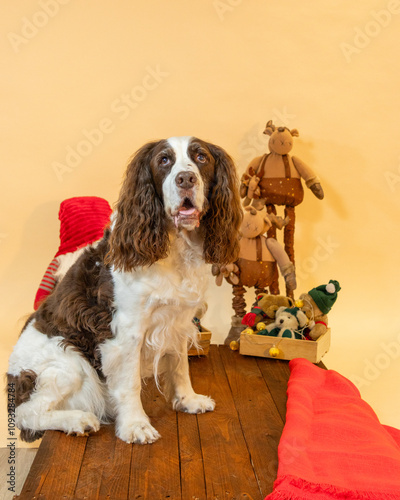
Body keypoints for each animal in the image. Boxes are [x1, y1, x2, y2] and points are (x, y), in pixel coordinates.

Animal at [7, 135, 242, 444]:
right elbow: (130, 383)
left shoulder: (178, 321)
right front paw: (135, 425)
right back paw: (77, 420)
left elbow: (180, 366)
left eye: (201, 157)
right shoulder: (127, 331)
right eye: (163, 160)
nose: (185, 179)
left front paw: (188, 400)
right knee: (27, 413)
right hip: (68, 365)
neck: (175, 248)